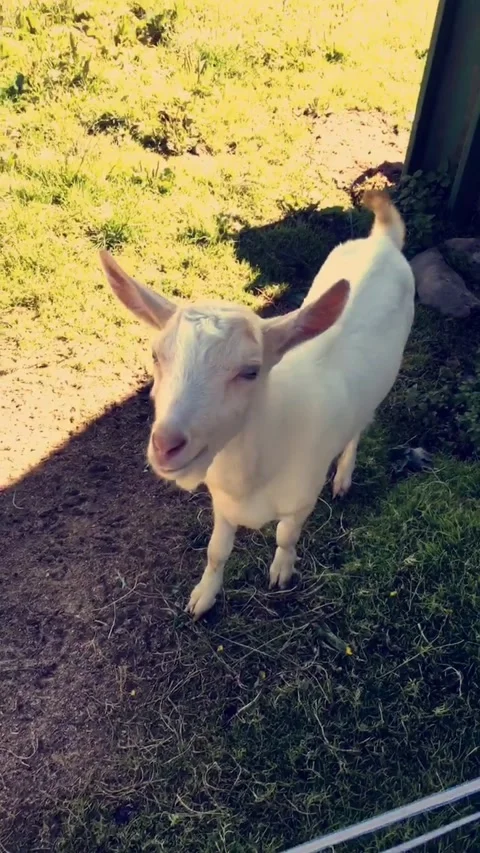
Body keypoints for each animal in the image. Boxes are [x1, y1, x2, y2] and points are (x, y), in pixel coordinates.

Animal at [100, 191, 415, 620]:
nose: (166, 445)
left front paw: (282, 570)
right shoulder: (222, 503)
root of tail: (382, 239)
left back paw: (343, 478)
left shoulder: (301, 499)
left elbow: (285, 535)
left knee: (359, 427)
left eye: (250, 371)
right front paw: (203, 597)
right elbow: (216, 551)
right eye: (155, 355)